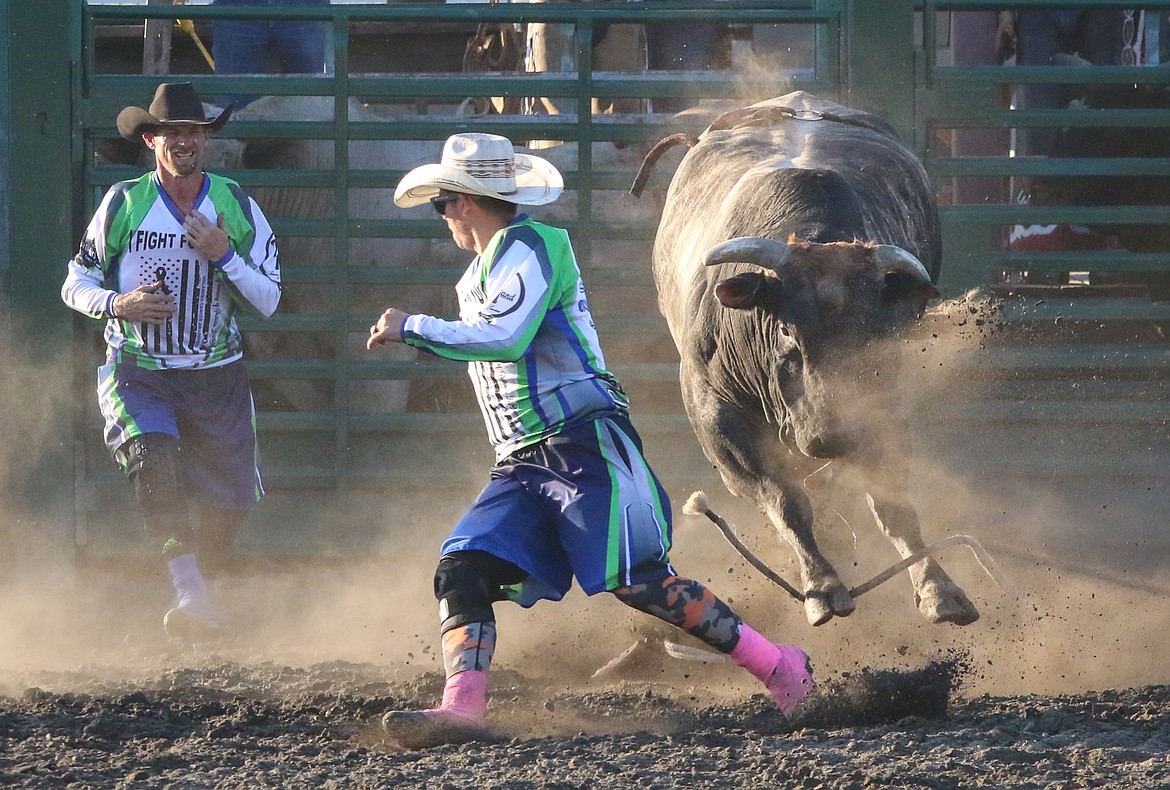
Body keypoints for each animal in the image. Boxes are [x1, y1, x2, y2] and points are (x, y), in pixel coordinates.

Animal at [645, 88, 982, 632]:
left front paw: (938, 588)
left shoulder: (882, 405)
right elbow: (785, 499)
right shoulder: (713, 411)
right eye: (786, 328)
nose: (830, 438)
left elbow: (893, 504)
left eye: (870, 334)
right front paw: (822, 585)